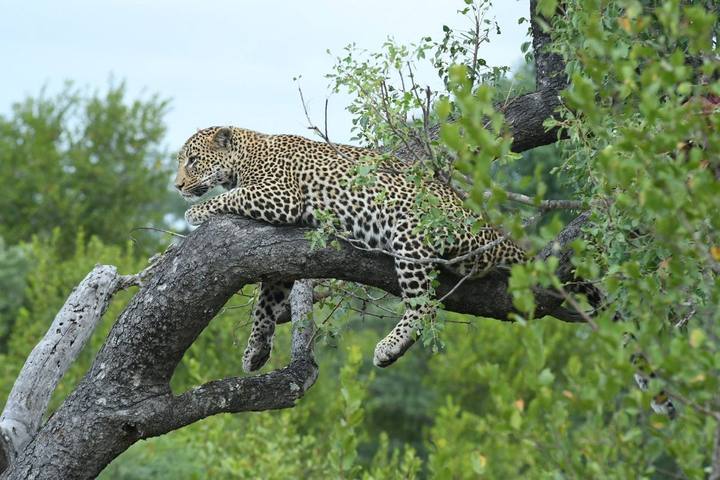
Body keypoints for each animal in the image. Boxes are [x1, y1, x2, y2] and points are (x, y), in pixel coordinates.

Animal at [174, 126, 526, 373]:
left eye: (193, 160)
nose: (177, 187)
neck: (245, 156)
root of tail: (496, 231)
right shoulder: (279, 263)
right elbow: (265, 306)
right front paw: (255, 351)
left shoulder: (280, 197)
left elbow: (230, 196)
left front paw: (195, 212)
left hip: (411, 231)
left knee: (424, 306)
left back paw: (389, 346)